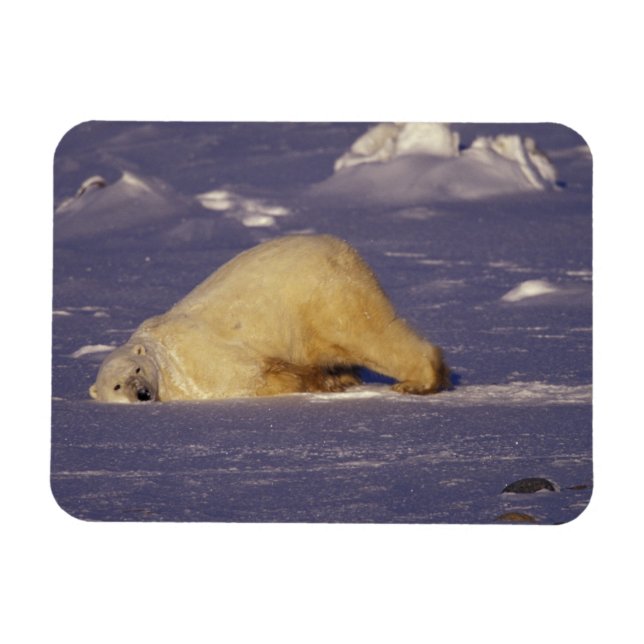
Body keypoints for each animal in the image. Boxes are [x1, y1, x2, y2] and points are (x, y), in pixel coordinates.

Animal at [89, 234, 450, 402]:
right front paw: (332, 381)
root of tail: (341, 247)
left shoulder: (199, 363)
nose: (142, 393)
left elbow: (258, 376)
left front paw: (318, 382)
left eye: (137, 370)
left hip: (323, 295)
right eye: (117, 385)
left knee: (365, 335)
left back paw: (418, 382)